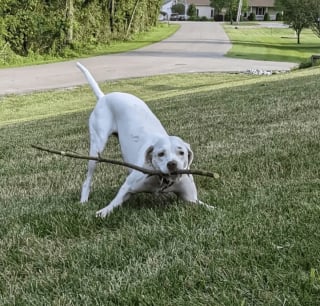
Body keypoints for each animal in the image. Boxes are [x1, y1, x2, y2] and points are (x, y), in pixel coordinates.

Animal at [77, 62, 208, 218]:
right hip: (96, 148)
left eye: (181, 153)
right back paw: (84, 200)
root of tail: (104, 97)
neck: (161, 181)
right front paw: (103, 212)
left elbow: (208, 207)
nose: (172, 164)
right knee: (87, 179)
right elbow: (113, 203)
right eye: (160, 154)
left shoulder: (191, 198)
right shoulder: (128, 186)